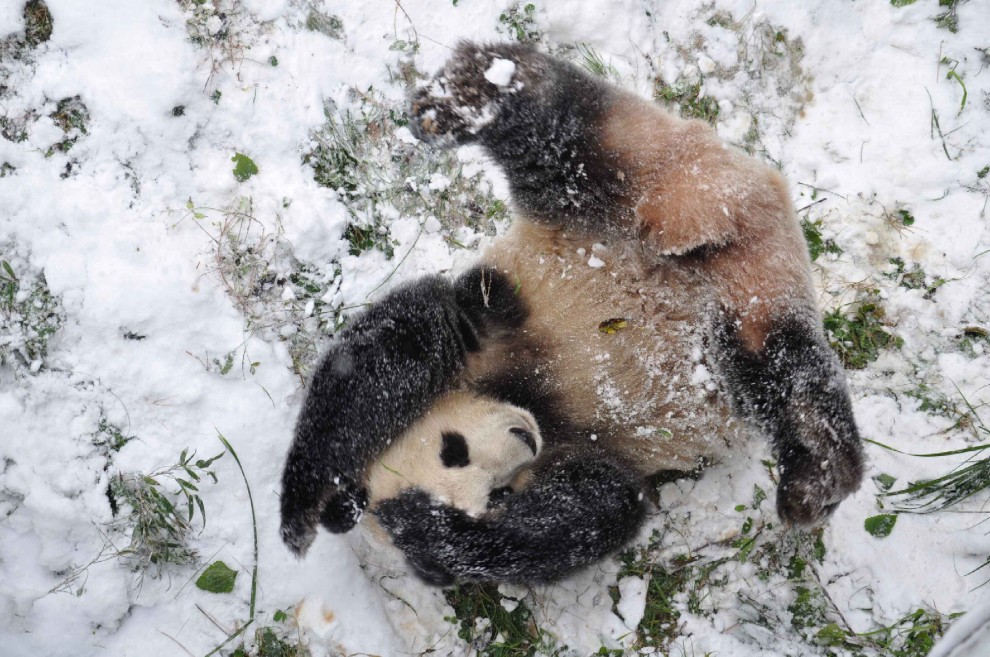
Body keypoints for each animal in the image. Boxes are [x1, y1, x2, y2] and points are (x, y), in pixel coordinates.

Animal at [279, 42, 865, 585]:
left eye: (453, 449)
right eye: (495, 493)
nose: (521, 441)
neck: (528, 395)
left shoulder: (488, 318)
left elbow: (384, 356)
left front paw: (306, 510)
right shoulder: (581, 449)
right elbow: (584, 516)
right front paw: (432, 536)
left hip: (620, 196)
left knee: (562, 132)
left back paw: (470, 92)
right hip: (733, 289)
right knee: (779, 366)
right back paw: (820, 472)